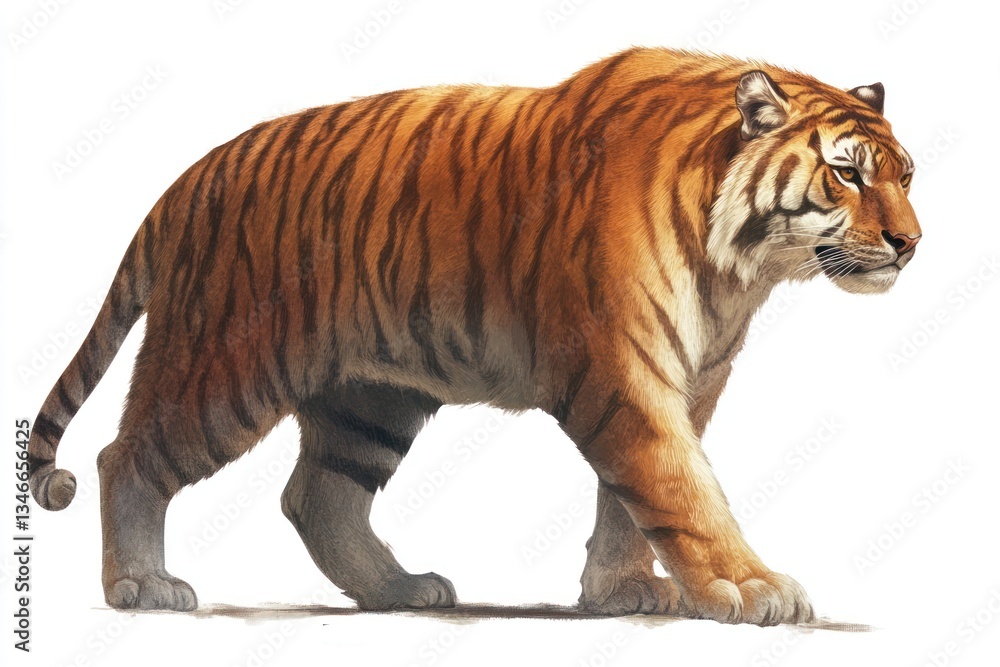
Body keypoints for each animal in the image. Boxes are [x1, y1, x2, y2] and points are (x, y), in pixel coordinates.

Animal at [28, 47, 921, 625]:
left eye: (906, 174)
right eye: (847, 172)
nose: (911, 242)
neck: (739, 263)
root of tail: (184, 182)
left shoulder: (687, 378)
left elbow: (632, 498)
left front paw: (620, 591)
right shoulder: (624, 374)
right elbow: (682, 489)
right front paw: (749, 588)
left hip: (371, 397)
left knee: (317, 494)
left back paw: (400, 589)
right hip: (224, 368)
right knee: (127, 455)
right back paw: (143, 585)